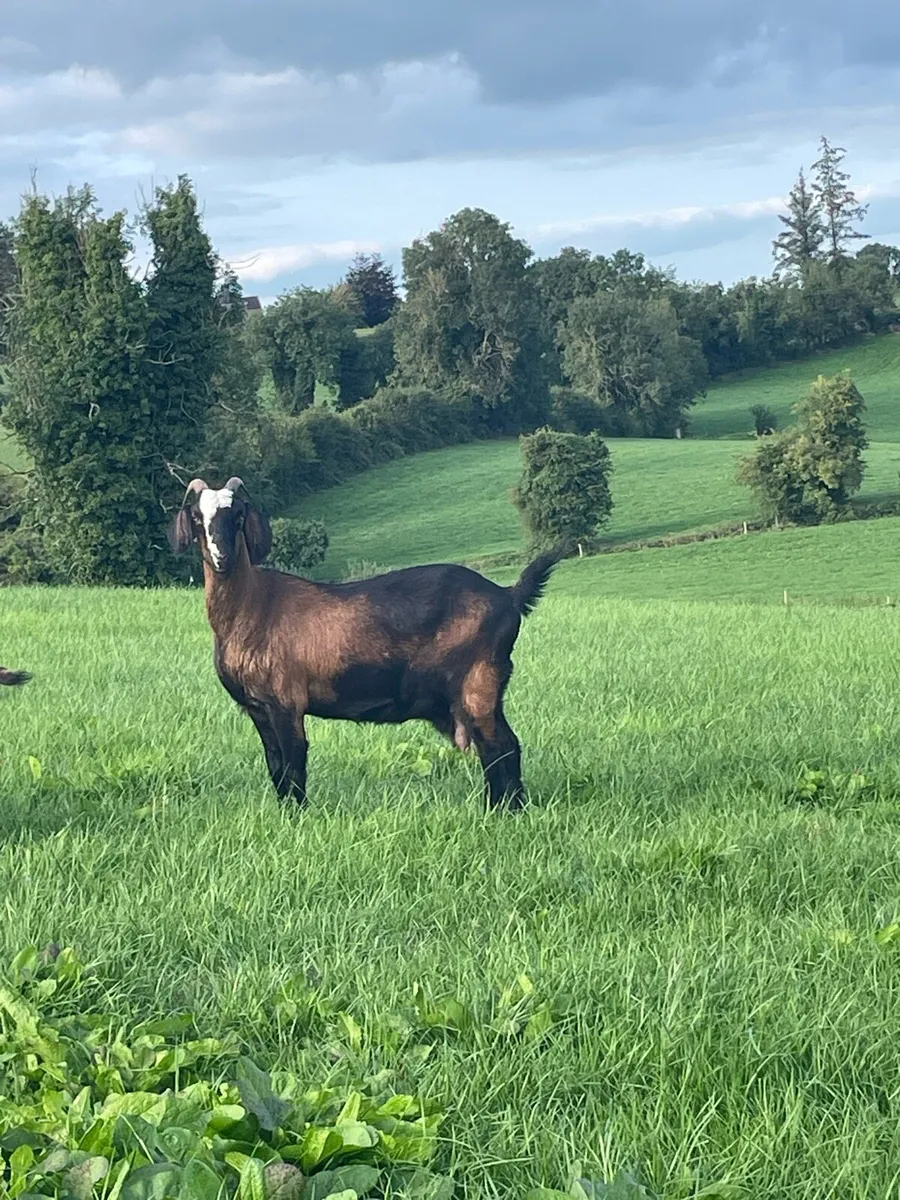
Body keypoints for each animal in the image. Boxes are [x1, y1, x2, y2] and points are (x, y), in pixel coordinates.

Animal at [169, 476, 561, 811]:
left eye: (237, 515)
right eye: (197, 516)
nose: (222, 557)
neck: (254, 608)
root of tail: (508, 596)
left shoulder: (286, 701)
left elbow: (294, 763)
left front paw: (299, 817)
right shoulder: (257, 708)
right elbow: (276, 765)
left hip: (479, 681)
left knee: (502, 746)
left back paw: (504, 811)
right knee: (495, 748)